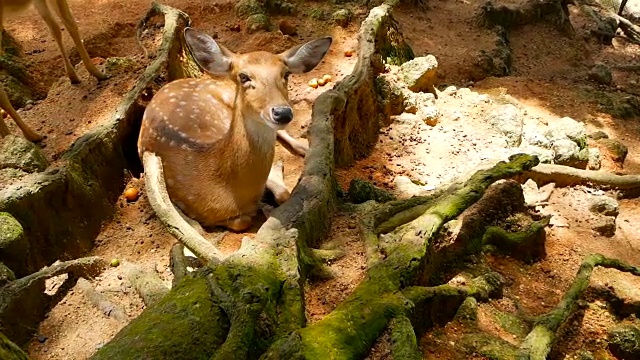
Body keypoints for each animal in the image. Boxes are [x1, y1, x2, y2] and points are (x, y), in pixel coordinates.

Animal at [0, 0, 108, 141]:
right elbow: (70, 24)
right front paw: (98, 73)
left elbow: (55, 28)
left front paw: (73, 76)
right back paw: (32, 136)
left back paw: (9, 137)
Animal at [138, 27, 332, 231]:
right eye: (244, 76)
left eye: (286, 74)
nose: (282, 112)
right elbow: (242, 222)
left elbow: (282, 195)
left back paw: (305, 147)